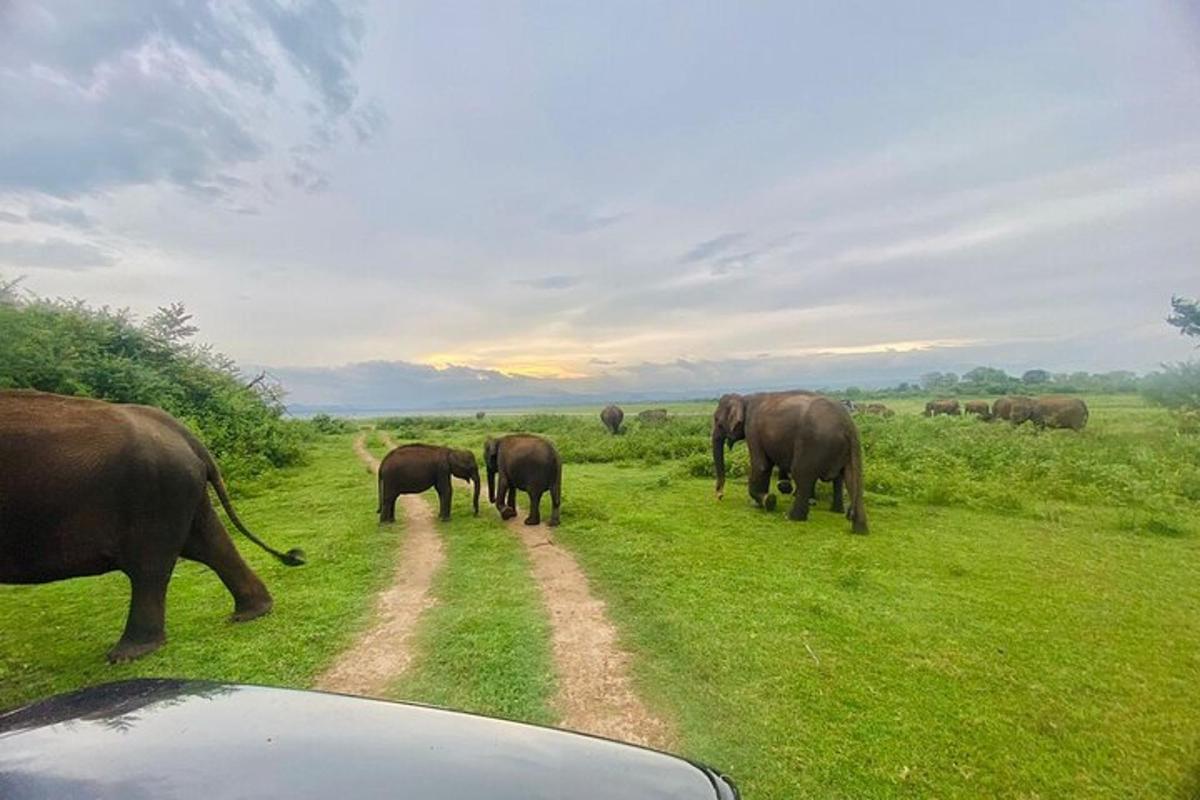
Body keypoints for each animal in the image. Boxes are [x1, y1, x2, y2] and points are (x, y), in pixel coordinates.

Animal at [0, 393, 304, 662]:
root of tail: (183, 432)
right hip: (177, 489)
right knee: (210, 545)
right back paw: (250, 613)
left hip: (154, 493)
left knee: (150, 567)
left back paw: (126, 655)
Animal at [705, 393, 868, 534]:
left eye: (717, 421)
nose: (719, 496)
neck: (745, 398)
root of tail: (848, 425)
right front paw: (761, 501)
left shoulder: (752, 429)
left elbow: (761, 465)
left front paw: (767, 501)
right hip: (850, 449)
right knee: (851, 478)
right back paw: (857, 527)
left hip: (813, 443)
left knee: (802, 475)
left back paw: (791, 517)